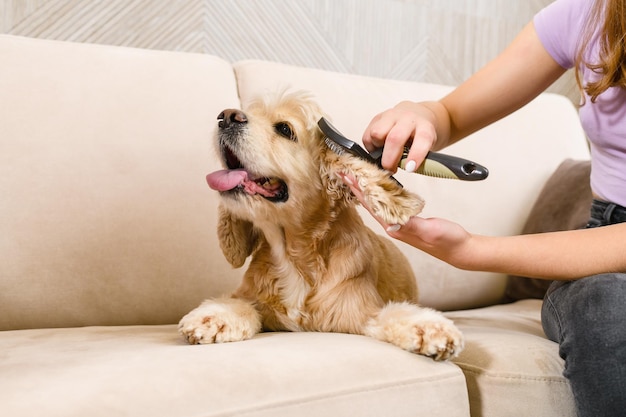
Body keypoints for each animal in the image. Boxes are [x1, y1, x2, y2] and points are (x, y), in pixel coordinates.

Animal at [178, 92, 460, 360]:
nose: (226, 116)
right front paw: (212, 317)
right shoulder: (253, 298)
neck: (293, 256)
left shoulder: (360, 311)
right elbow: (240, 304)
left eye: (284, 129)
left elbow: (393, 314)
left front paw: (432, 330)